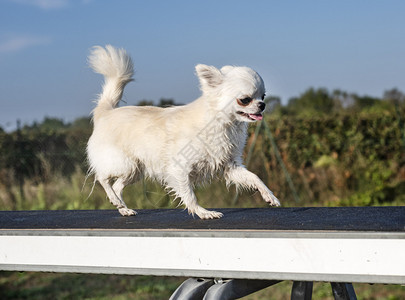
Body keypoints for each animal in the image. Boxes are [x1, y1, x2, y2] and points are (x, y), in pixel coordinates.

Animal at [87, 44, 280, 219]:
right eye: (245, 100)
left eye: (263, 96)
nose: (262, 105)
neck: (223, 124)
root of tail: (106, 112)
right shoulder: (179, 168)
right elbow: (190, 195)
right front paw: (203, 212)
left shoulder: (230, 165)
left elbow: (254, 177)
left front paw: (269, 195)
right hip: (123, 163)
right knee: (102, 177)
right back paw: (114, 198)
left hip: (134, 170)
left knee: (117, 186)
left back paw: (122, 207)